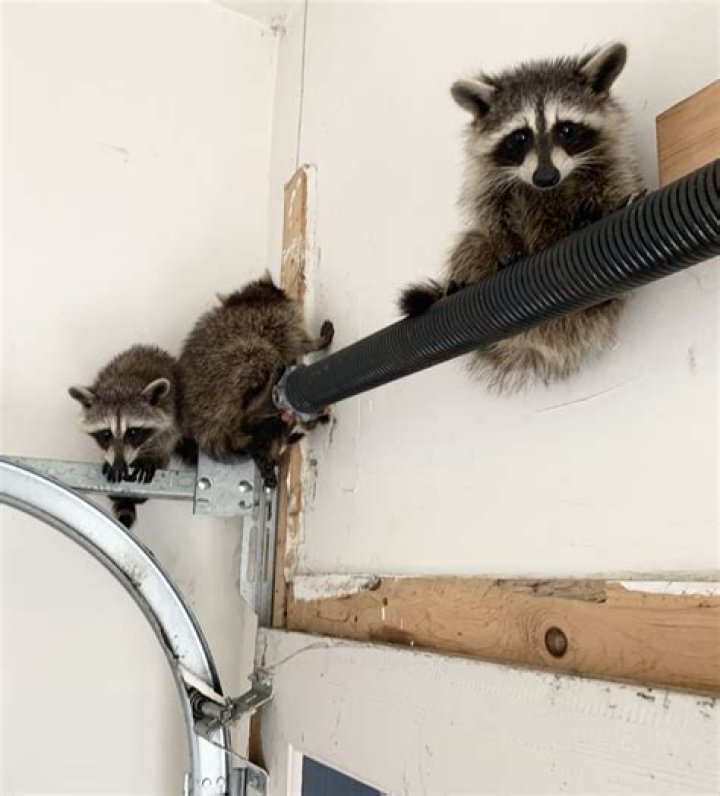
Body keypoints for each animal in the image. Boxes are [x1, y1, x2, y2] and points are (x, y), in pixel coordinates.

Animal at [69, 345, 183, 528]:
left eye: (133, 432)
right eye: (106, 433)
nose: (119, 465)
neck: (122, 384)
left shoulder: (171, 411)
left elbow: (168, 437)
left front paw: (152, 457)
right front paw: (108, 460)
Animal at [177, 273, 334, 488]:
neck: (247, 299)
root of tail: (202, 426)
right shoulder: (277, 321)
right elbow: (298, 342)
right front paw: (316, 343)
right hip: (233, 369)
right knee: (261, 354)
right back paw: (260, 407)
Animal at [399, 42, 645, 391]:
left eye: (566, 129)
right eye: (520, 136)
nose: (545, 177)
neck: (547, 188)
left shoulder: (612, 157)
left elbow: (618, 184)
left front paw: (608, 208)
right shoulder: (485, 178)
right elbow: (488, 213)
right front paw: (505, 245)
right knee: (471, 242)